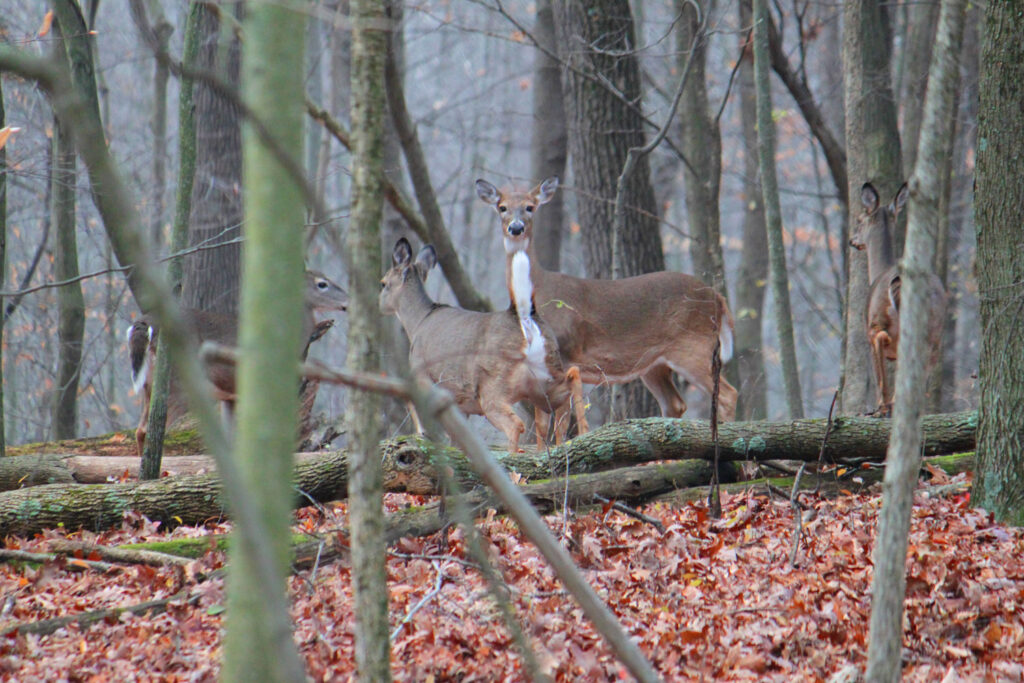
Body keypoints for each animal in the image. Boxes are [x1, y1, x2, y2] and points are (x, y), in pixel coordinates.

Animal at [128, 269, 349, 456]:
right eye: (322, 283)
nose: (347, 301)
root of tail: (144, 323)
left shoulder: (230, 396)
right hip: (178, 382)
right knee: (152, 431)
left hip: (149, 385)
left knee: (140, 430)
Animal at [379, 237, 588, 454]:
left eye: (383, 283)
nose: (380, 305)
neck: (419, 321)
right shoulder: (460, 403)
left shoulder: (420, 371)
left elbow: (414, 406)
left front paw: (422, 435)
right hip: (545, 375)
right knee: (568, 387)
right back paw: (578, 438)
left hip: (494, 385)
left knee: (515, 424)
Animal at [475, 176, 737, 422]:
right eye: (502, 207)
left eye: (530, 207)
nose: (516, 228)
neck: (537, 290)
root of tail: (717, 296)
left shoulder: (566, 354)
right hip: (654, 363)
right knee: (675, 403)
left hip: (693, 345)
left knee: (727, 394)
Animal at [850, 182, 947, 417]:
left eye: (859, 220)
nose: (852, 241)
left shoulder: (871, 329)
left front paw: (880, 406)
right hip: (935, 332)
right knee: (925, 365)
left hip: (880, 319)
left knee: (882, 339)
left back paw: (886, 406)